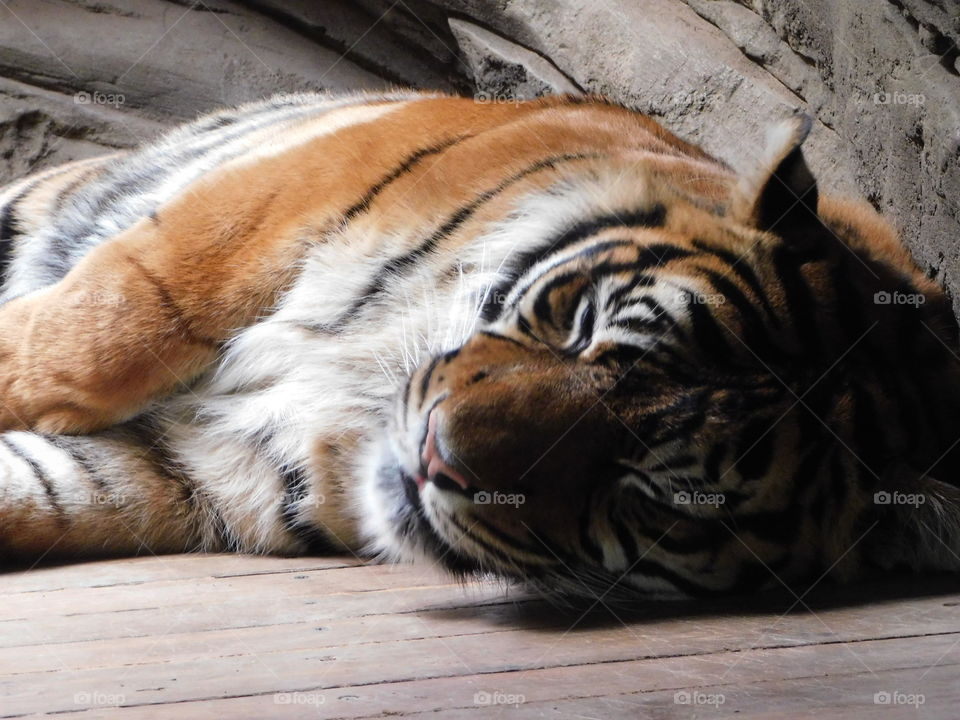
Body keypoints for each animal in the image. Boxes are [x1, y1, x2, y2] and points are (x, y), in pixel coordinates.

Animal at [0, 90, 957, 601]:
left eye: (655, 497)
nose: (434, 456)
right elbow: (109, 320)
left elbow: (47, 488)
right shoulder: (269, 206)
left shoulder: (207, 464)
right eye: (582, 328)